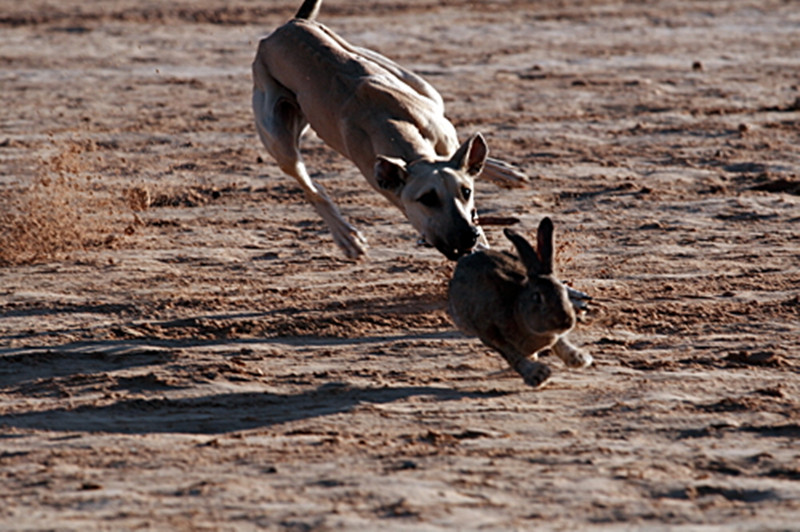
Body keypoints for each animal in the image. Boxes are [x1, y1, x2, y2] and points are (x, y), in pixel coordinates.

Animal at [446, 218, 592, 388]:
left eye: (564, 291)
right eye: (537, 297)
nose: (566, 322)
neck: (518, 309)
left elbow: (559, 340)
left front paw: (579, 359)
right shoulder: (488, 332)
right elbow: (511, 355)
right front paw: (538, 375)